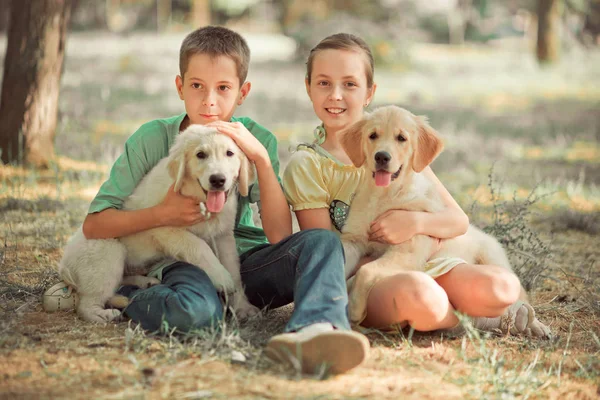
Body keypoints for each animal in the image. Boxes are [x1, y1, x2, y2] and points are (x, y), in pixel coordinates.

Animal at [59, 126, 258, 324]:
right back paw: (100, 313)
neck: (197, 196)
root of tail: (64, 265)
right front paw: (222, 278)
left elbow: (234, 269)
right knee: (86, 302)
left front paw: (242, 306)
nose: (218, 180)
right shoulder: (165, 226)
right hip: (107, 251)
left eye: (229, 153)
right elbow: (199, 246)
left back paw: (145, 282)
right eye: (200, 154)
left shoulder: (223, 235)